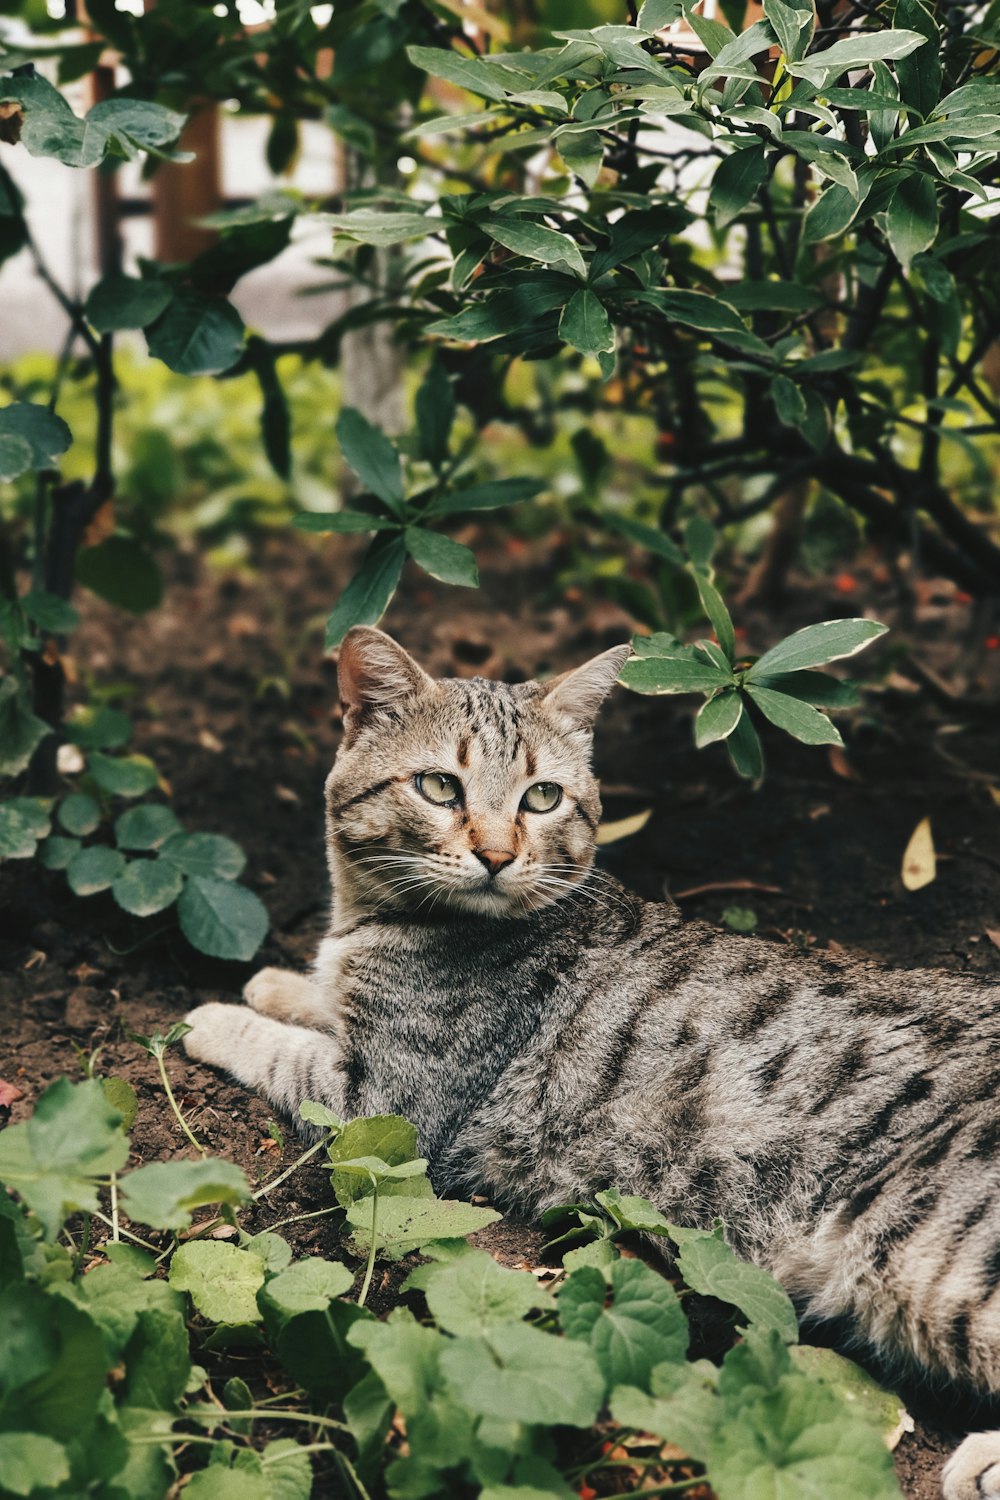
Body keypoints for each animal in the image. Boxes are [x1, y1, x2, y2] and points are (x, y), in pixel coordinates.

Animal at [183, 627, 1000, 1494]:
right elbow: (318, 998)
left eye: (541, 799)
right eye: (440, 787)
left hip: (932, 1257)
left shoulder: (383, 1108)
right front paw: (280, 979)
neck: (379, 918)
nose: (497, 854)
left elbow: (286, 1050)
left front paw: (215, 1017)